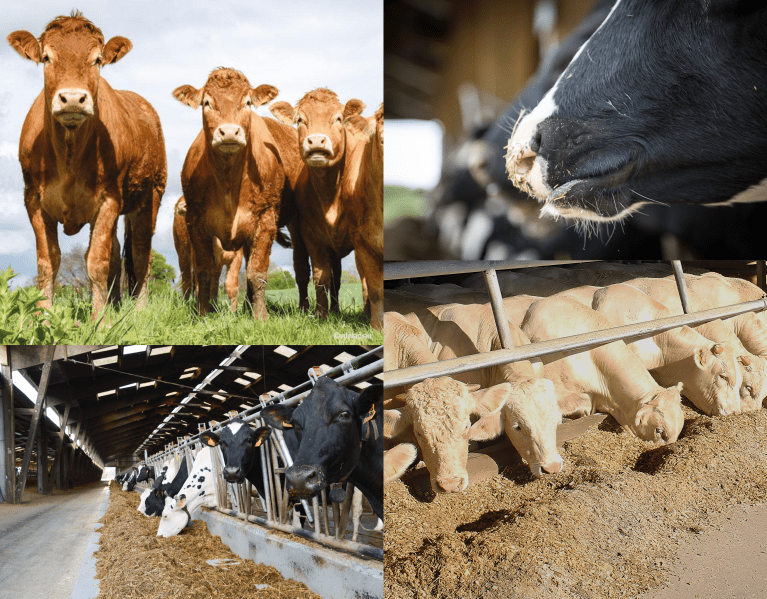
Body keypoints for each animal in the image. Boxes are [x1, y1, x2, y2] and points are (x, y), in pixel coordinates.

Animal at [7, 11, 166, 317]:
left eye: (97, 59)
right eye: (46, 57)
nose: (72, 98)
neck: (69, 154)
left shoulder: (109, 199)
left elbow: (97, 262)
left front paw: (100, 320)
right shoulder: (33, 199)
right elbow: (48, 262)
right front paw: (42, 318)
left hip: (151, 195)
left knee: (141, 254)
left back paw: (138, 311)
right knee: (117, 252)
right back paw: (114, 304)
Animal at [173, 68, 306, 320]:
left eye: (247, 102)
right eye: (207, 102)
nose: (229, 132)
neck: (228, 181)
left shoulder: (265, 220)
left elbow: (257, 273)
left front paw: (261, 317)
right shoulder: (196, 222)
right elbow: (204, 272)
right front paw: (202, 314)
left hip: (297, 224)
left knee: (301, 269)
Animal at [270, 89, 384, 330]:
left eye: (338, 118)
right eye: (300, 119)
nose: (316, 140)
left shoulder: (357, 239)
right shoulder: (312, 236)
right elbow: (321, 277)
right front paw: (321, 315)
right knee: (304, 270)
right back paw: (309, 308)